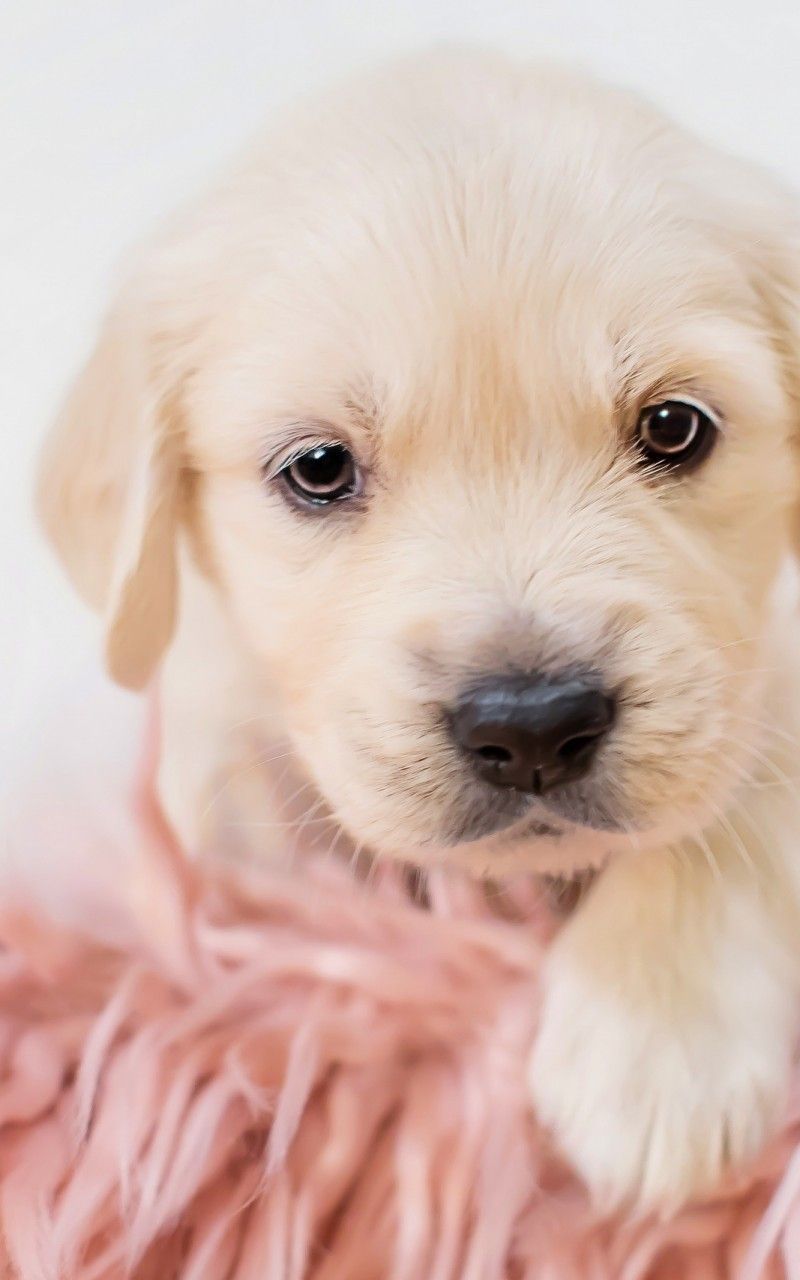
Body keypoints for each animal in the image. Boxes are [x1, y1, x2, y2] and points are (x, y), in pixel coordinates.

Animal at [37, 49, 800, 1208]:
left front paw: (655, 1048)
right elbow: (225, 785)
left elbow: (746, 799)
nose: (532, 727)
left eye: (675, 426)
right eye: (317, 467)